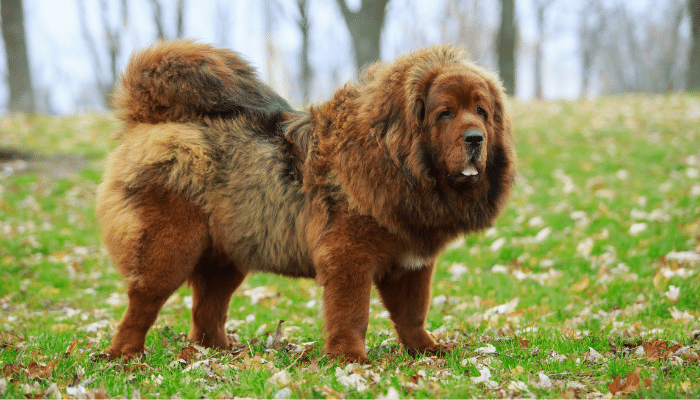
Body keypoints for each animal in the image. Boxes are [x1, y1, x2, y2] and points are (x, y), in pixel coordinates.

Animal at [97, 39, 516, 362]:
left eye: (481, 111)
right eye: (445, 114)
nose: (475, 138)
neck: (394, 161)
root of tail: (149, 120)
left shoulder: (411, 263)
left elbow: (412, 314)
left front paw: (427, 350)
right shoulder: (349, 256)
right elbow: (351, 313)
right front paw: (351, 359)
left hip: (226, 256)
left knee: (205, 313)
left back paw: (220, 352)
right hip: (169, 248)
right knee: (142, 303)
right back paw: (125, 356)